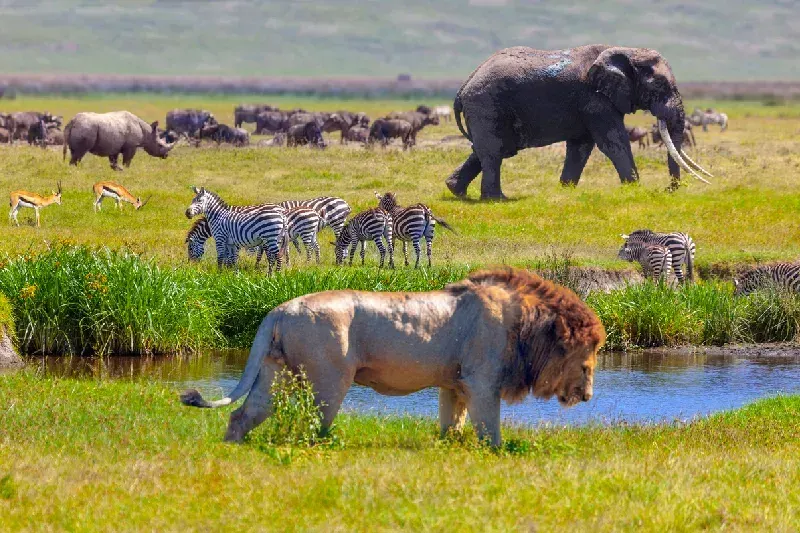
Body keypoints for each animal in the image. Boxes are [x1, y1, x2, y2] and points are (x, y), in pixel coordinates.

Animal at [181, 267, 606, 446]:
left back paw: (233, 447)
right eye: (587, 360)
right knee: (313, 426)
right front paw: (495, 454)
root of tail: (279, 310)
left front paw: (449, 448)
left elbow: (452, 424)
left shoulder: (455, 384)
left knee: (243, 414)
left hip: (276, 373)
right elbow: (491, 430)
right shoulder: (482, 381)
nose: (587, 397)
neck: (526, 325)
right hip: (328, 379)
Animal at [445, 45, 713, 199]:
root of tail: (462, 88)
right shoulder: (595, 99)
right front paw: (634, 189)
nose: (668, 190)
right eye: (659, 85)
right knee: (493, 152)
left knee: (489, 150)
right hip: (486, 104)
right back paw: (497, 199)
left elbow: (581, 146)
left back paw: (456, 191)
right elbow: (613, 142)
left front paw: (565, 191)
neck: (625, 51)